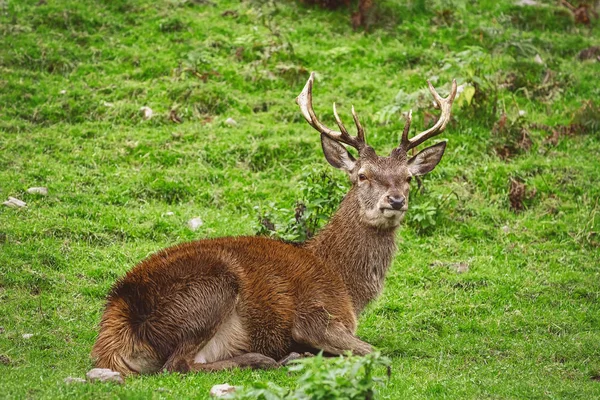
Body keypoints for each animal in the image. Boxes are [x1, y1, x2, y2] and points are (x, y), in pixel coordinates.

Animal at [90, 72, 454, 376]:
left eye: (408, 178)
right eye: (362, 176)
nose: (395, 200)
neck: (347, 285)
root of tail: (117, 318)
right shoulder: (315, 315)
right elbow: (377, 353)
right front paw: (298, 355)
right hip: (211, 288)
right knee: (177, 364)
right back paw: (267, 358)